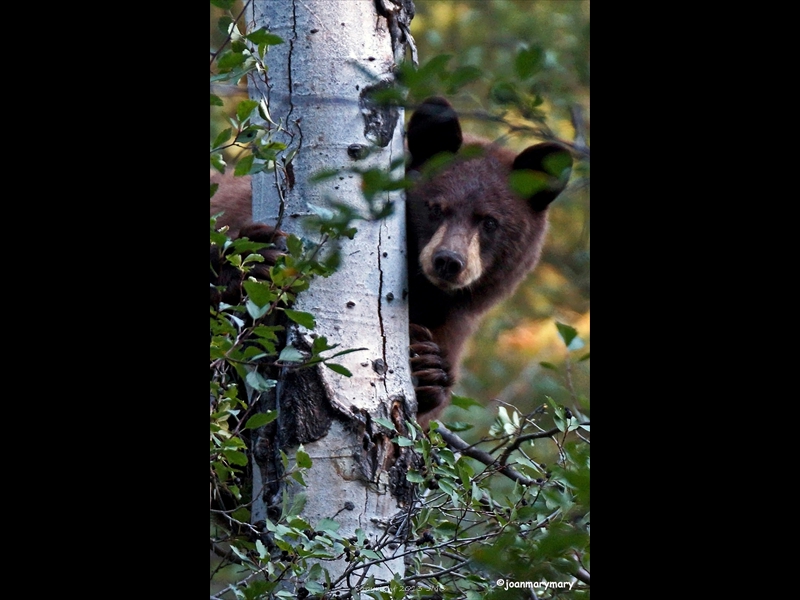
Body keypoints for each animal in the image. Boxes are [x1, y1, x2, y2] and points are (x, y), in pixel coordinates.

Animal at [209, 96, 572, 428]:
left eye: (490, 222)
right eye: (435, 207)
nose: (448, 261)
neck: (424, 292)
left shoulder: (451, 322)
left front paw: (429, 370)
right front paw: (254, 265)